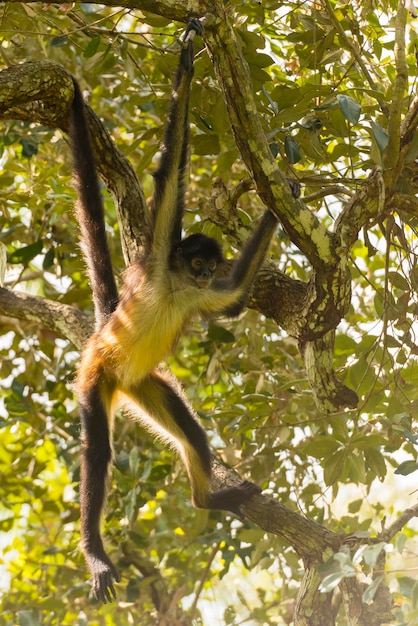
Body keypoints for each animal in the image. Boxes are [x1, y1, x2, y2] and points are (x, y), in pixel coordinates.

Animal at [69, 19, 284, 604]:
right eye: (198, 260)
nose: (206, 273)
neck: (177, 285)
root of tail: (104, 337)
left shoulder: (198, 296)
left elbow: (233, 301)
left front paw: (280, 198)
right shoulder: (161, 250)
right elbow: (170, 177)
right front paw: (186, 63)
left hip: (146, 384)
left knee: (192, 431)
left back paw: (208, 500)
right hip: (96, 375)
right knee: (98, 453)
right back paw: (95, 554)